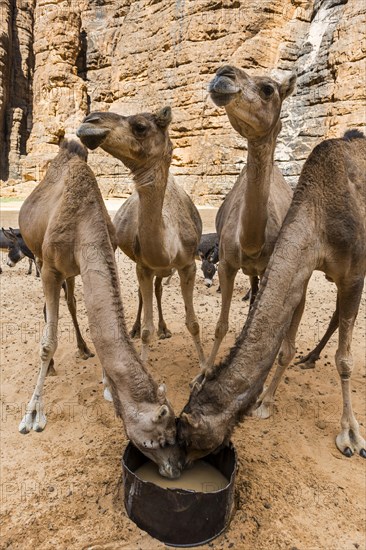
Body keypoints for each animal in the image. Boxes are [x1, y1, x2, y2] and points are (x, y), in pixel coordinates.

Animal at [17, 140, 183, 480]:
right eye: (161, 437)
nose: (176, 467)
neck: (83, 222)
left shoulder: (99, 256)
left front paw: (108, 385)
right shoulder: (50, 268)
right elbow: (48, 342)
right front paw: (33, 413)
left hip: (69, 273)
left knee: (70, 303)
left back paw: (81, 348)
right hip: (39, 256)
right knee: (50, 311)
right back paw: (52, 366)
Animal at [76, 106, 206, 366]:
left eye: (140, 126)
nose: (89, 121)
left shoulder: (188, 264)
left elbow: (193, 324)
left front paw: (205, 367)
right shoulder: (143, 266)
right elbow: (147, 329)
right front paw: (144, 359)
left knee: (158, 290)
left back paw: (164, 329)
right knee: (141, 294)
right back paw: (135, 328)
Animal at [178, 132, 366, 464]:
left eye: (188, 440)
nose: (176, 465)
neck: (320, 212)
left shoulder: (354, 273)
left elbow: (344, 359)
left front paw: (351, 435)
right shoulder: (305, 266)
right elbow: (285, 345)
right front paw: (265, 399)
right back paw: (310, 357)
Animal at [206, 66, 294, 370]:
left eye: (268, 88)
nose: (223, 74)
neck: (252, 243)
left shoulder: (271, 267)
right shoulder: (225, 263)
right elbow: (220, 326)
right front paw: (203, 372)